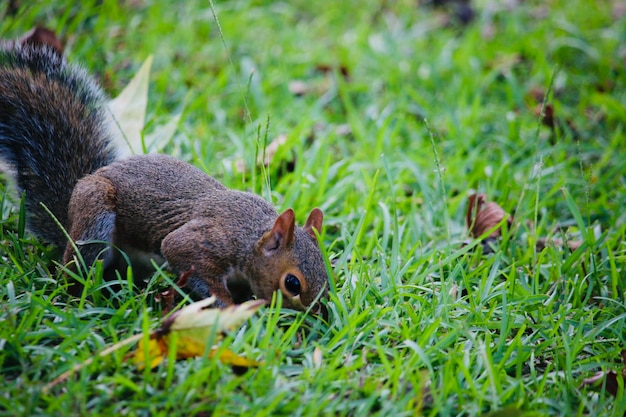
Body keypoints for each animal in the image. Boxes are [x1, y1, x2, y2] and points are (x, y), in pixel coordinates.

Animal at [0, 35, 330, 312]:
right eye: (292, 283)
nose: (315, 315)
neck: (252, 238)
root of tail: (68, 219)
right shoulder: (204, 242)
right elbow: (181, 252)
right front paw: (228, 307)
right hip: (95, 218)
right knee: (79, 269)